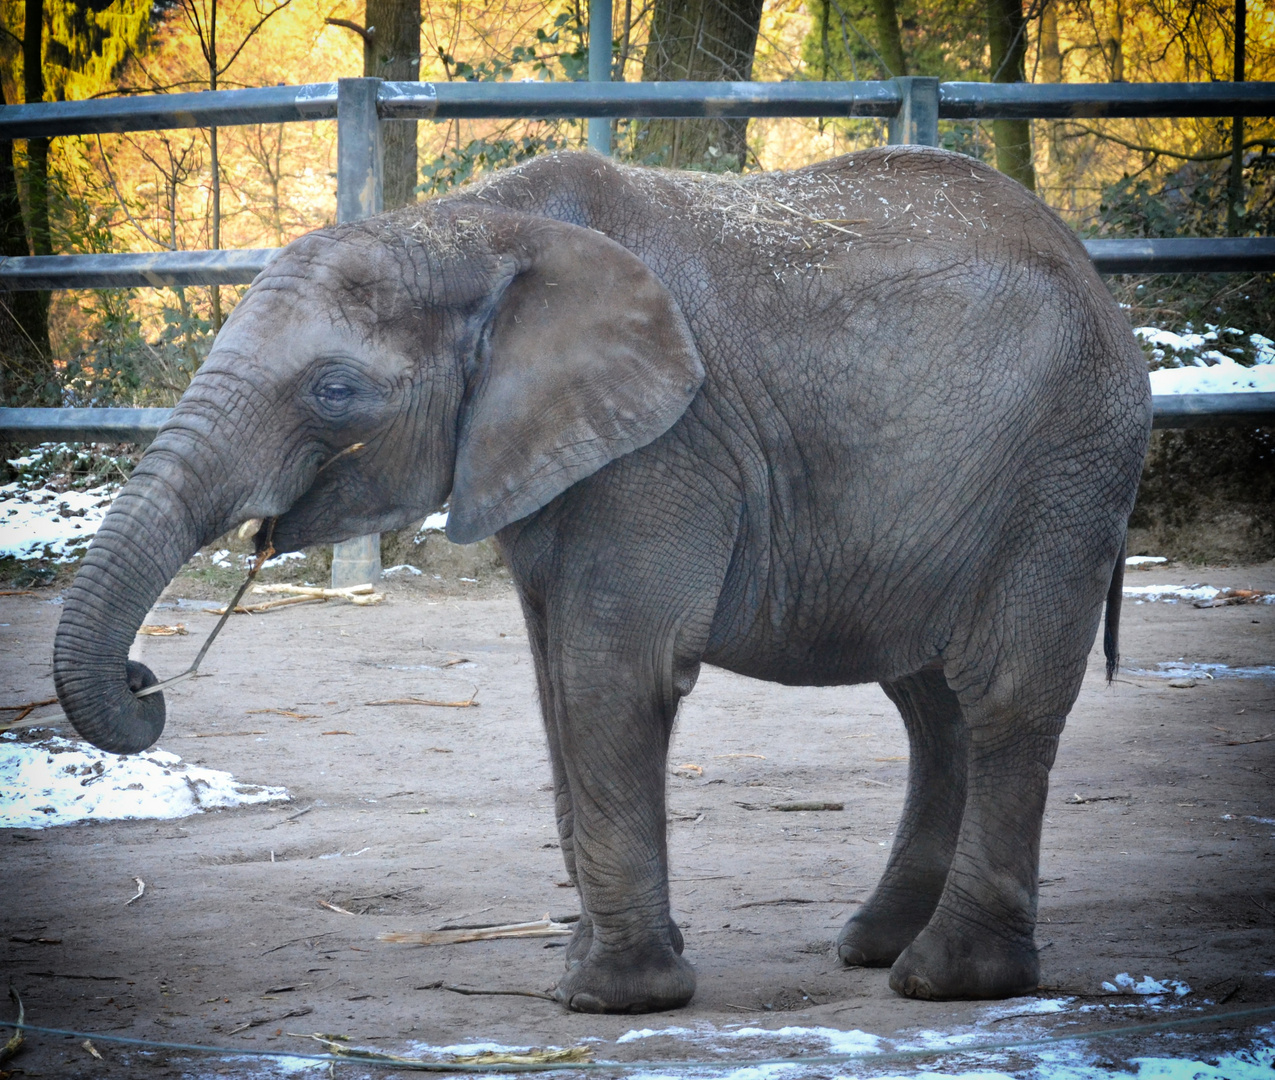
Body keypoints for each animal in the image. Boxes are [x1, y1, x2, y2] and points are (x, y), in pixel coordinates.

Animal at [49, 147, 1152, 1020]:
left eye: (334, 389)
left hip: (1063, 468)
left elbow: (610, 674)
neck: (471, 225)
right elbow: (553, 683)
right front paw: (585, 969)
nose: (148, 682)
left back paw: (948, 980)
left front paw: (612, 998)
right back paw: (873, 946)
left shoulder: (666, 446)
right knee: (930, 699)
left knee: (1000, 692)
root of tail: (1098, 278)